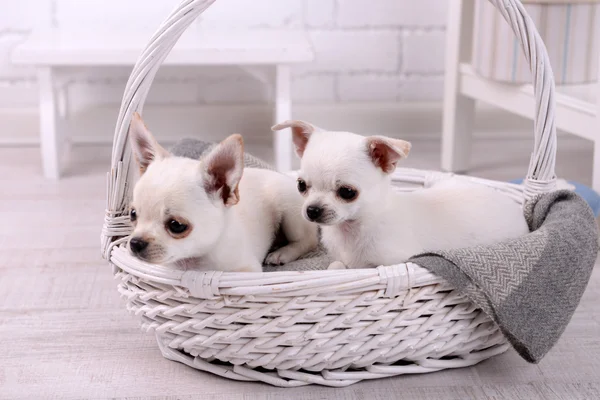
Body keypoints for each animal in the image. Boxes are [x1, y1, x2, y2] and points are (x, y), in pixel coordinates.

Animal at [127, 114, 318, 274]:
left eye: (176, 225)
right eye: (133, 214)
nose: (135, 243)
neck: (194, 260)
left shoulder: (247, 270)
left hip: (290, 212)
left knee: (308, 240)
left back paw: (283, 253)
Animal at [274, 119, 528, 268]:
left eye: (347, 192)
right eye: (301, 185)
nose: (312, 210)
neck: (352, 230)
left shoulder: (395, 262)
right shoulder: (339, 259)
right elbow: (335, 266)